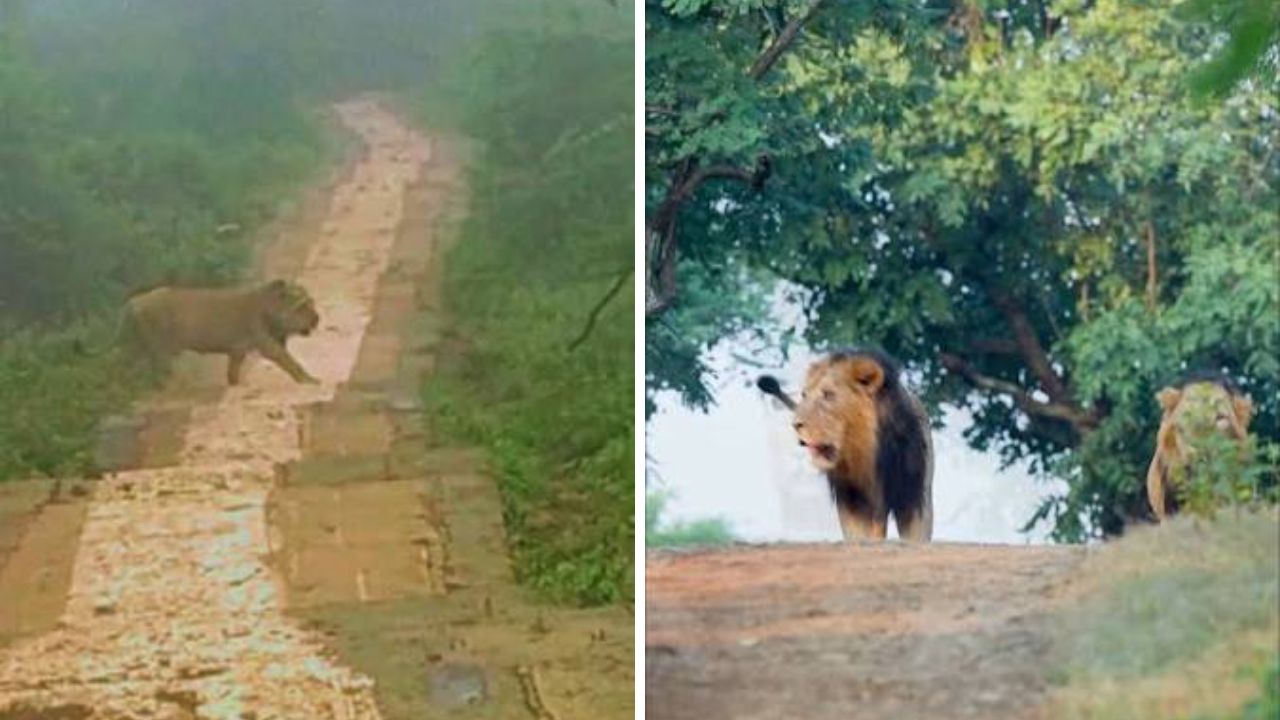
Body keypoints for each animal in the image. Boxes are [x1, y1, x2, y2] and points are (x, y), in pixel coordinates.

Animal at [119, 279, 321, 386]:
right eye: (301, 306)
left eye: (311, 302)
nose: (316, 319)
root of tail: (133, 301)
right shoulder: (267, 344)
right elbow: (290, 362)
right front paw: (309, 380)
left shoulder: (237, 351)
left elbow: (233, 372)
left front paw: (234, 385)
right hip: (159, 348)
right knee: (161, 372)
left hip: (143, 347)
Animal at [758, 349, 934, 542]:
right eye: (804, 395)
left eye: (828, 394)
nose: (795, 424)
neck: (868, 456)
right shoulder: (852, 505)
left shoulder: (913, 499)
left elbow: (915, 538)